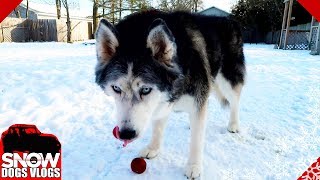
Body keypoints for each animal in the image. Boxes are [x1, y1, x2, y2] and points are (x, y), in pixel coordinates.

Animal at [94, 10, 245, 179]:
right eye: (116, 88)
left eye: (145, 89)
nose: (126, 134)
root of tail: (228, 19)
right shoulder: (160, 101)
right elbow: (158, 127)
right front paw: (153, 148)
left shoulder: (197, 97)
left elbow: (197, 138)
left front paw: (194, 165)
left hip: (228, 80)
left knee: (235, 101)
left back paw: (233, 124)